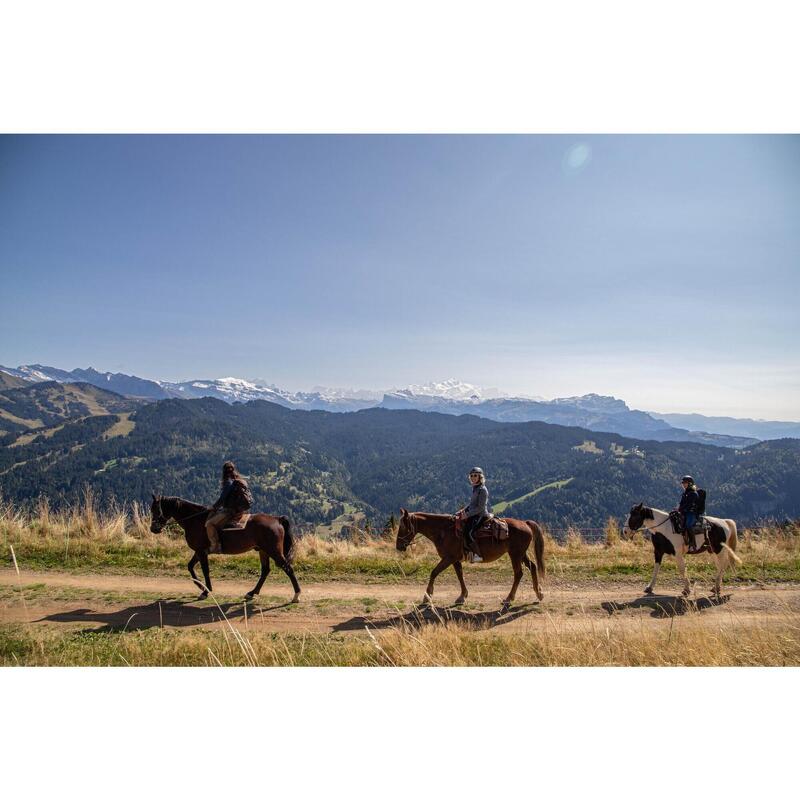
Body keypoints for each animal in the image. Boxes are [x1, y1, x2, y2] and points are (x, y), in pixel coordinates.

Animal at [148, 494, 302, 600]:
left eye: (156, 509)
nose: (153, 528)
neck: (194, 520)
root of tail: (277, 519)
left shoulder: (201, 552)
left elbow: (205, 571)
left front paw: (206, 591)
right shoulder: (200, 551)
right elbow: (190, 566)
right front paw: (200, 586)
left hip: (274, 551)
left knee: (288, 569)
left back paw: (296, 595)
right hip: (263, 550)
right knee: (265, 571)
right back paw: (252, 593)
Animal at [396, 510, 548, 608]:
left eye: (403, 527)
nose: (398, 546)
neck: (443, 531)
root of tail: (525, 523)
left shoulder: (448, 558)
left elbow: (434, 572)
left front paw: (427, 596)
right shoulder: (455, 559)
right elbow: (460, 575)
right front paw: (462, 596)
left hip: (515, 554)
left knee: (518, 573)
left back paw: (509, 598)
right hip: (521, 553)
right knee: (532, 567)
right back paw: (539, 593)